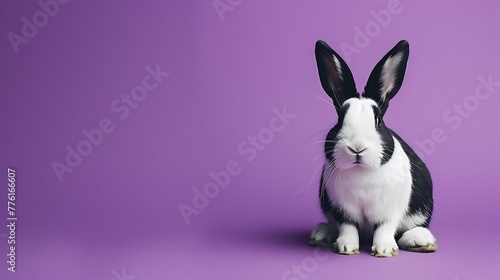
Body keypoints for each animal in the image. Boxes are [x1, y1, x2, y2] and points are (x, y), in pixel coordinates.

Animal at [310, 40, 436, 258]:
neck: (361, 172)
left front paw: (384, 249)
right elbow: (348, 227)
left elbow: (385, 228)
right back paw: (321, 233)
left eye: (378, 121)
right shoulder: (342, 210)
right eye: (340, 119)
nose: (357, 147)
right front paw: (346, 247)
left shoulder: (389, 210)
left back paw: (420, 239)